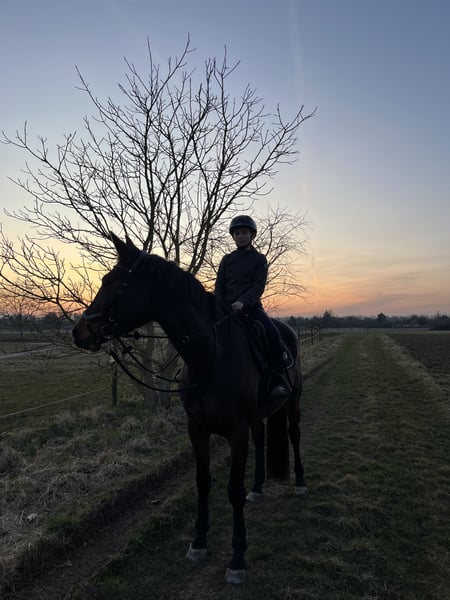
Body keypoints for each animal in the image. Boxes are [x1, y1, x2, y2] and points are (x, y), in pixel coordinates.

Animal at [72, 233, 306, 584]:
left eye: (112, 282)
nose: (79, 333)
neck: (210, 355)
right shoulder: (196, 428)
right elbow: (203, 482)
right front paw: (198, 543)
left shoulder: (236, 431)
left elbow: (232, 489)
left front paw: (237, 558)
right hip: (257, 417)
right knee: (262, 438)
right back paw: (258, 488)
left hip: (291, 402)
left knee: (293, 435)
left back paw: (301, 483)